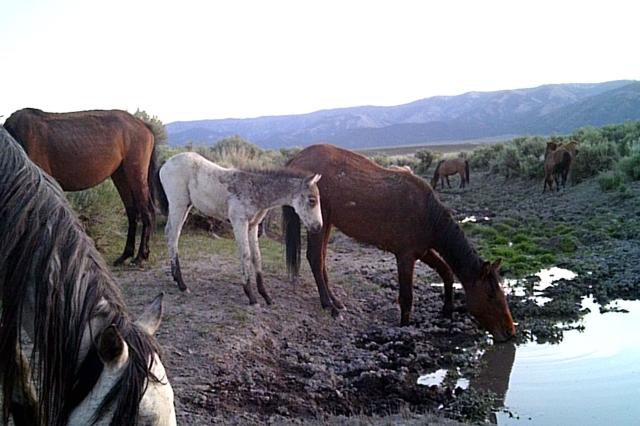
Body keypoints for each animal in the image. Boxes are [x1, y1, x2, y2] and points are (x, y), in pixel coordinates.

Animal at [3, 108, 159, 264]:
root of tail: (144, 125)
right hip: (120, 175)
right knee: (132, 213)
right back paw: (126, 255)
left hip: (135, 173)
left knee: (147, 212)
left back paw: (140, 256)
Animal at [282, 144, 516, 342]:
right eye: (491, 296)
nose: (510, 332)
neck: (428, 214)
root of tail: (298, 157)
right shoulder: (405, 256)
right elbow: (406, 297)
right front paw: (405, 326)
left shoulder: (423, 251)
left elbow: (446, 272)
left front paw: (447, 309)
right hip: (318, 224)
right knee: (314, 258)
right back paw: (328, 306)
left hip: (327, 222)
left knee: (321, 260)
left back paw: (335, 301)